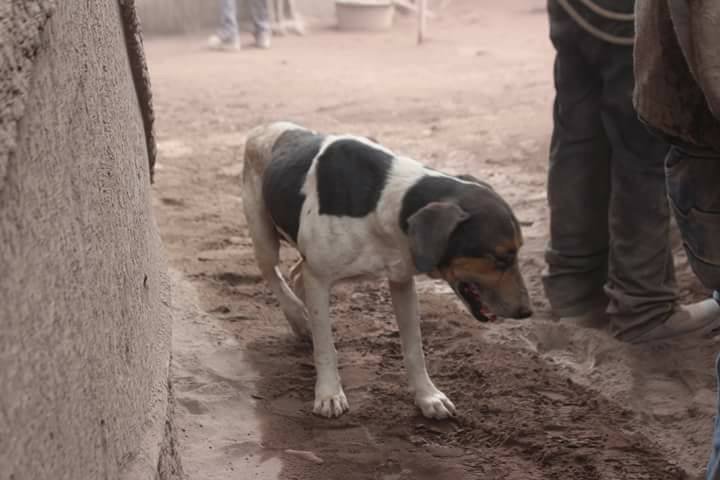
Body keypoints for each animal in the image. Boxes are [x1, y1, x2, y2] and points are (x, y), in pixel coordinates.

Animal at [240, 123, 528, 420]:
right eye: (500, 258)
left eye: (517, 252)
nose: (526, 311)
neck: (385, 203)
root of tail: (269, 127)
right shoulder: (319, 278)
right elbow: (326, 347)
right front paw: (329, 394)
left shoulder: (401, 279)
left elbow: (414, 348)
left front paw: (427, 396)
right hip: (263, 235)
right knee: (272, 273)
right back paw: (298, 316)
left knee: (296, 273)